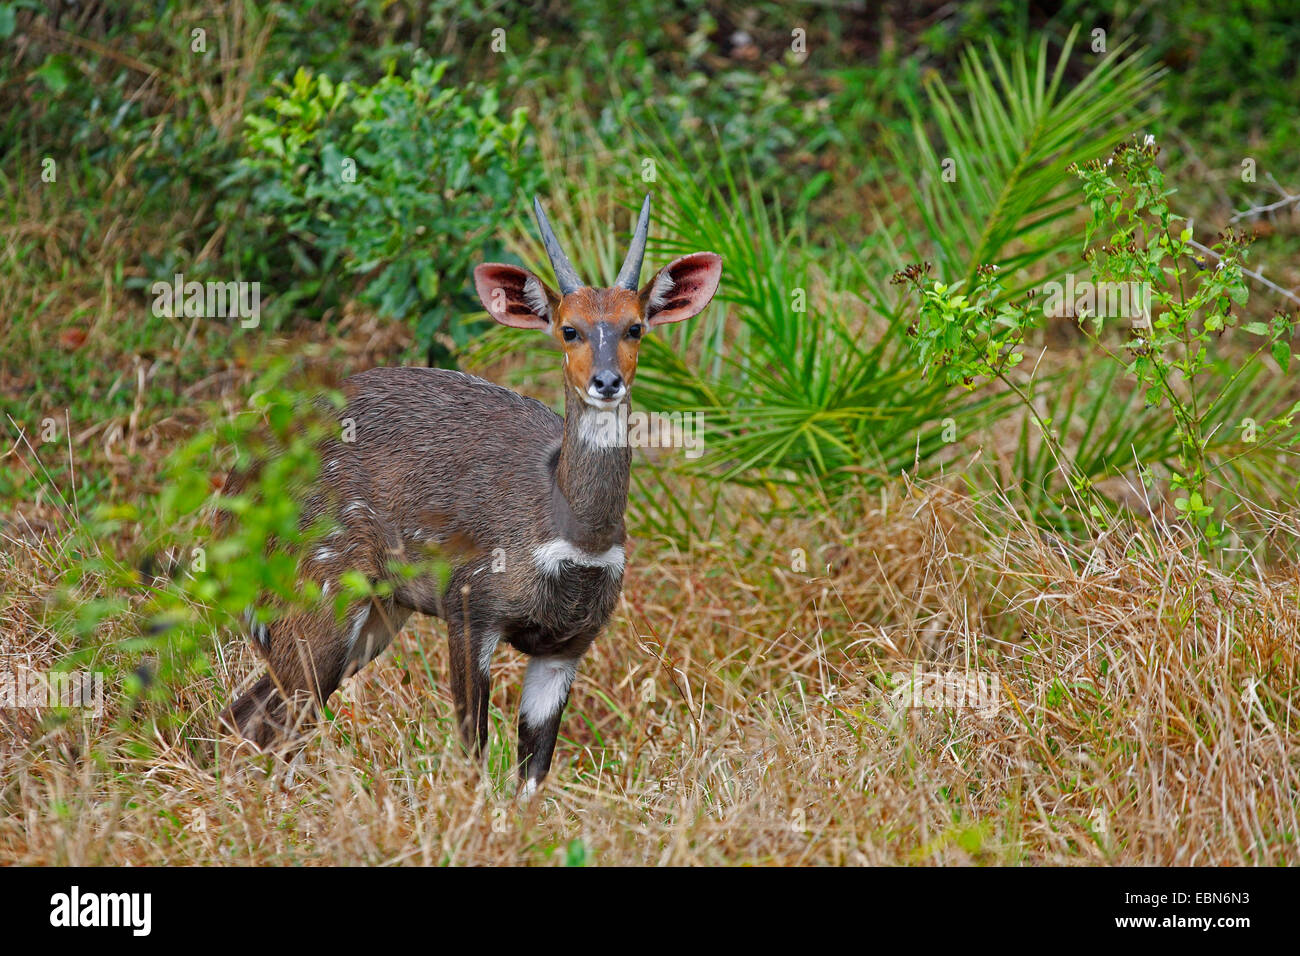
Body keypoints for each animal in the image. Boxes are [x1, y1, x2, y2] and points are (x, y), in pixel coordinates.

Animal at [219, 195, 722, 794]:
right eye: (569, 330)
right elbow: (472, 752)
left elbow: (532, 774)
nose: (606, 382)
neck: (571, 536)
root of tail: (236, 491)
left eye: (636, 328)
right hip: (319, 599)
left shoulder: (567, 645)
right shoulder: (470, 609)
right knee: (268, 717)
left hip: (376, 614)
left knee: (249, 716)